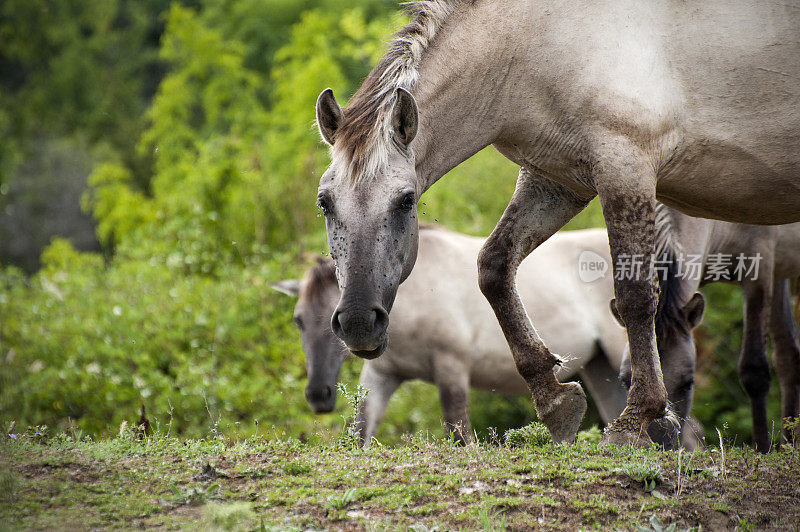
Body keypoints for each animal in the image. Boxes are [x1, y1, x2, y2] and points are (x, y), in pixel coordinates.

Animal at [624, 206, 800, 450]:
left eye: (689, 383)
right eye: (624, 381)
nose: (660, 446)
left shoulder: (760, 271)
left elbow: (754, 370)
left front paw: (761, 449)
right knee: (787, 355)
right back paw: (789, 442)